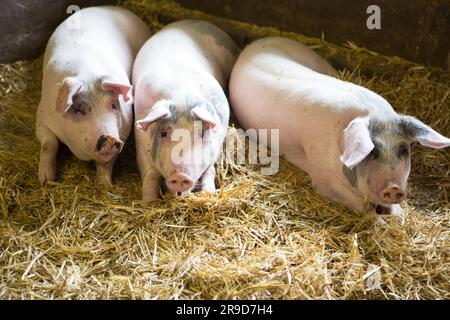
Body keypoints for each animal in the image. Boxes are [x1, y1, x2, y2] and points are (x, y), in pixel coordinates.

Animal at [35, 6, 151, 186]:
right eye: (80, 109)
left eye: (113, 105)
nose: (110, 138)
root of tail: (121, 9)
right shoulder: (41, 119)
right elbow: (49, 144)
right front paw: (46, 181)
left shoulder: (123, 132)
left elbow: (106, 163)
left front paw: (104, 186)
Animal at [133, 19, 239, 200]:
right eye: (164, 133)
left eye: (200, 133)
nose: (180, 176)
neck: (181, 97)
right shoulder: (140, 142)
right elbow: (150, 174)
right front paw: (149, 202)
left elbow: (210, 170)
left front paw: (208, 193)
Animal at [230, 37, 448, 214]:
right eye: (372, 151)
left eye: (403, 150)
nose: (394, 188)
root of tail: (258, 41)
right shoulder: (323, 178)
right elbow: (363, 208)